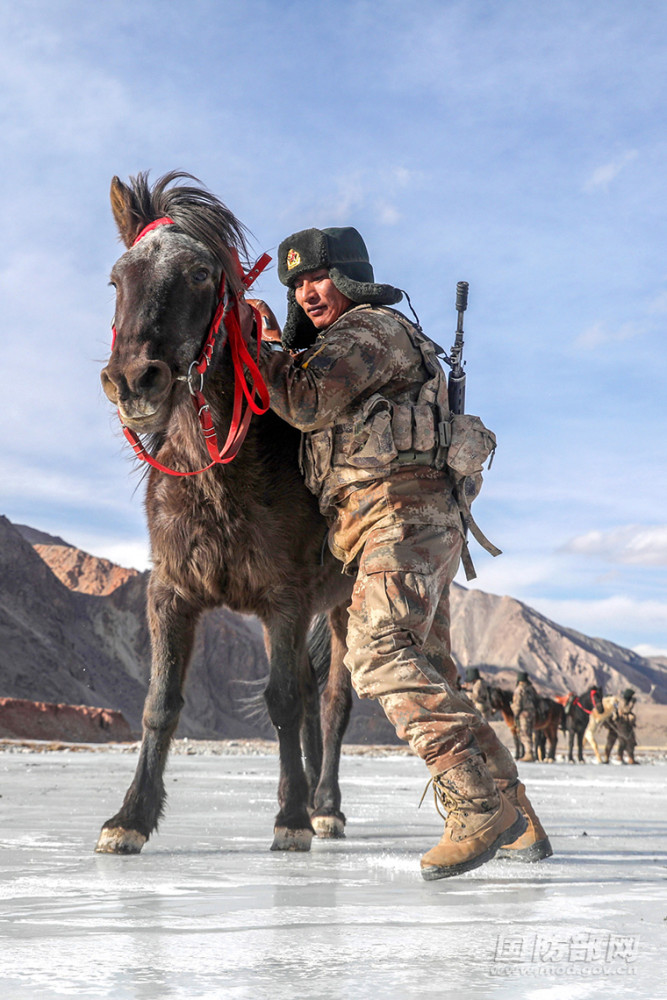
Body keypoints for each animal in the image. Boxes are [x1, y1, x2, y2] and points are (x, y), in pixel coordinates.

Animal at [96, 170, 354, 852]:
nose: (132, 381)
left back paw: (324, 806)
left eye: (198, 274)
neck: (219, 473)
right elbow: (160, 703)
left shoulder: (284, 600)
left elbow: (283, 700)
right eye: (117, 279)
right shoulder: (171, 593)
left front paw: (290, 819)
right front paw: (129, 818)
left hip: (347, 606)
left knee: (332, 702)